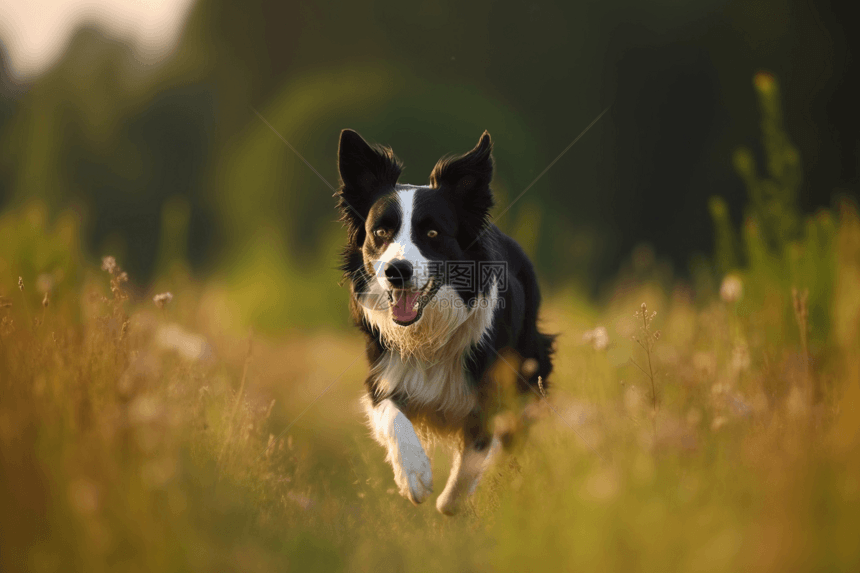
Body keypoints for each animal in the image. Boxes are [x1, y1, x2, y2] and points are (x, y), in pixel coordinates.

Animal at [336, 128, 556, 512]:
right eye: (381, 232)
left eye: (433, 233)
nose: (396, 271)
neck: (428, 334)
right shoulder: (383, 374)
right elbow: (391, 416)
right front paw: (414, 476)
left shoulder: (495, 387)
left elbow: (476, 453)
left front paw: (451, 501)